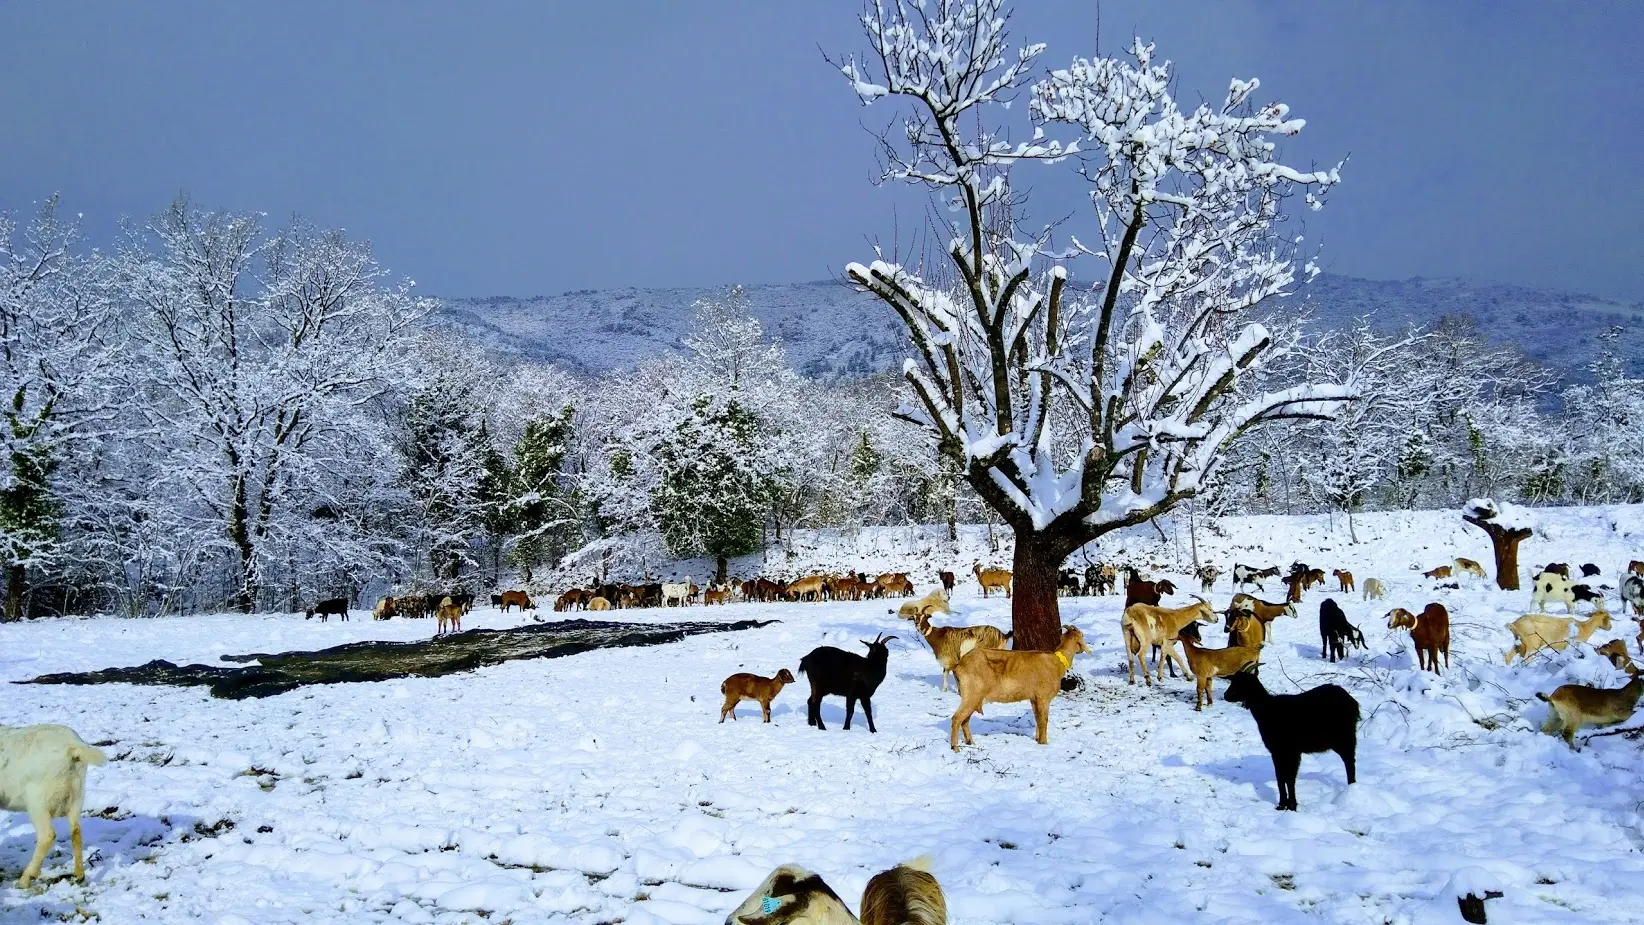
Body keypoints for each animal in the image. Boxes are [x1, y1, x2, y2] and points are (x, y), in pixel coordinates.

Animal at [1, 722, 107, 887]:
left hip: (37, 799)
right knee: (76, 831)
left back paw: (26, 879)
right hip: (77, 794)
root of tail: (72, 746)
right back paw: (79, 876)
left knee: (47, 835)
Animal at [953, 627, 1091, 749]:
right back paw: (955, 748)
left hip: (973, 698)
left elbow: (1037, 719)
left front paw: (1038, 739)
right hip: (972, 695)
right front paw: (1044, 743)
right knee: (956, 718)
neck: (1056, 662)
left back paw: (970, 742)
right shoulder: (1043, 697)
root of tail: (959, 665)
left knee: (965, 720)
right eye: (1082, 635)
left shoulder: (1034, 698)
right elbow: (1044, 720)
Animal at [1229, 667, 1354, 811]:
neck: (1267, 709)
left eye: (1240, 683)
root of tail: (1352, 701)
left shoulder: (1291, 751)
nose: (1226, 695)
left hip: (1346, 738)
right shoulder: (1277, 752)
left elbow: (1289, 778)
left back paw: (1352, 789)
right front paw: (1282, 804)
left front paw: (1292, 805)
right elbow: (1280, 777)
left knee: (1350, 761)